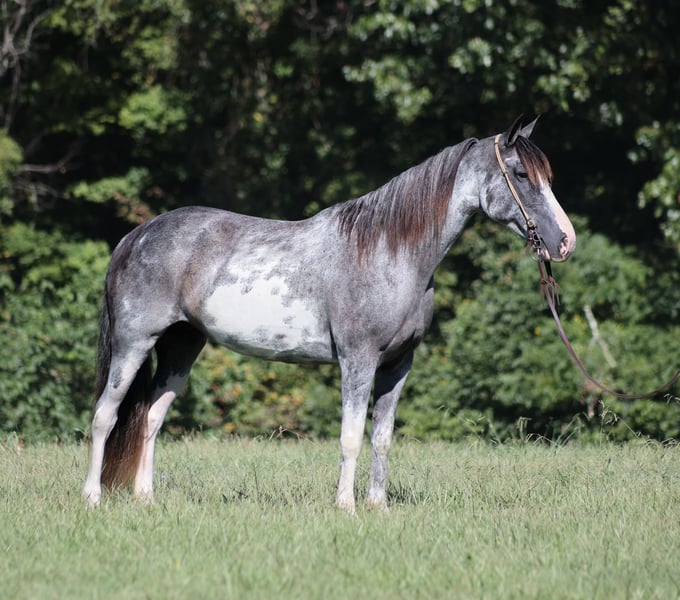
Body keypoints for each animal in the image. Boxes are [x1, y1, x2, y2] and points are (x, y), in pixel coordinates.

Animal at [82, 117, 576, 512]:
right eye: (520, 174)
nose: (565, 241)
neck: (388, 252)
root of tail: (137, 234)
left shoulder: (398, 364)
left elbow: (382, 437)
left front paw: (378, 507)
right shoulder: (358, 361)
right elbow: (351, 436)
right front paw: (347, 507)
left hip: (182, 346)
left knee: (150, 417)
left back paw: (145, 498)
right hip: (133, 345)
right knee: (106, 414)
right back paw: (92, 497)